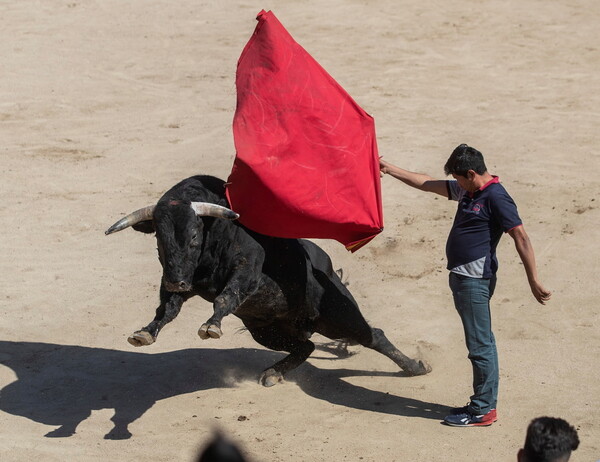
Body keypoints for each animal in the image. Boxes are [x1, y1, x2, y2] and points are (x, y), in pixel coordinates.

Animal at [105, 175, 428, 384]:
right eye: (159, 237)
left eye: (194, 235)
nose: (176, 282)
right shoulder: (178, 278)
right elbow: (167, 309)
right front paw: (145, 333)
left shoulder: (247, 269)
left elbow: (226, 297)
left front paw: (211, 326)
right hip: (266, 331)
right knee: (305, 347)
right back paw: (274, 373)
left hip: (339, 316)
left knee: (373, 336)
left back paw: (415, 368)